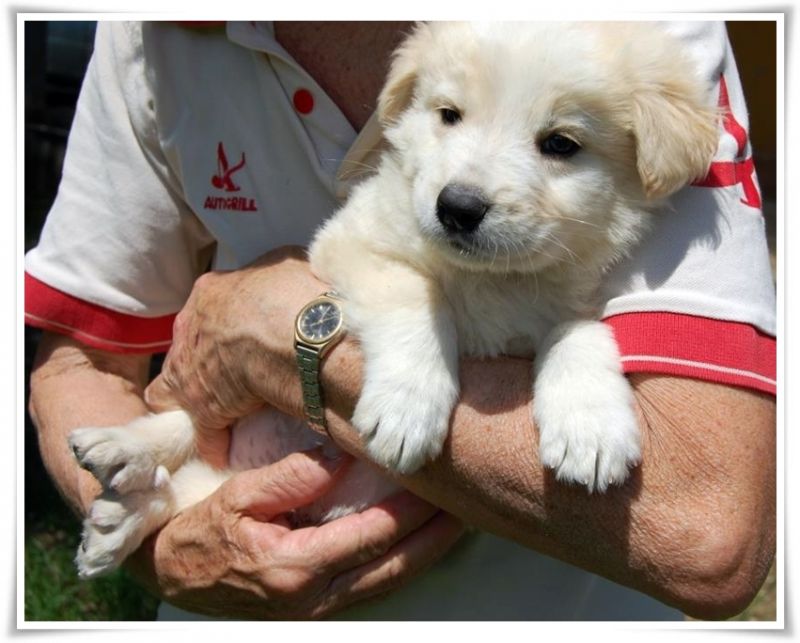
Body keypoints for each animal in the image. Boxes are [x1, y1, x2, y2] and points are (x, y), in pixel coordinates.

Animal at [69, 21, 720, 580]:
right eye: (449, 115)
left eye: (561, 143)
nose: (456, 207)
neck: (488, 278)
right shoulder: (352, 244)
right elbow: (417, 296)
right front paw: (409, 408)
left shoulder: (575, 302)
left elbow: (582, 333)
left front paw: (591, 426)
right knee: (183, 423)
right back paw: (117, 453)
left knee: (188, 491)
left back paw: (120, 515)